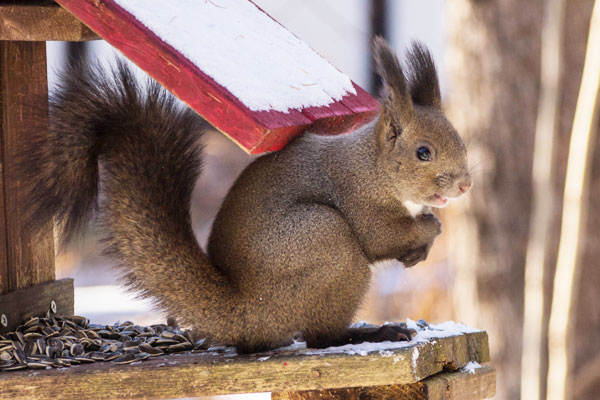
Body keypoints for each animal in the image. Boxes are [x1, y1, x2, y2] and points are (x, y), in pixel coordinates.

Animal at [21, 38, 472, 354]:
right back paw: (369, 332)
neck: (374, 166)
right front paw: (429, 229)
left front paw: (421, 247)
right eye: (423, 152)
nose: (465, 184)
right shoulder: (359, 197)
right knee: (319, 337)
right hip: (325, 240)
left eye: (461, 141)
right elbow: (381, 236)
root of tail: (245, 312)